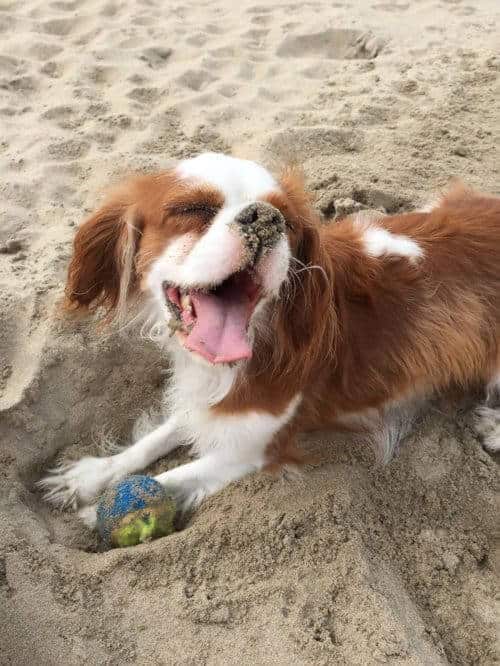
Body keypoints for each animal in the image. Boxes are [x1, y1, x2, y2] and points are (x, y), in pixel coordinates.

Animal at [40, 152, 500, 524]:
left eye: (287, 222)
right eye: (192, 208)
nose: (264, 218)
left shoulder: (250, 448)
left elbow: (173, 476)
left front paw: (100, 510)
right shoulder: (210, 397)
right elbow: (160, 435)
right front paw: (90, 475)